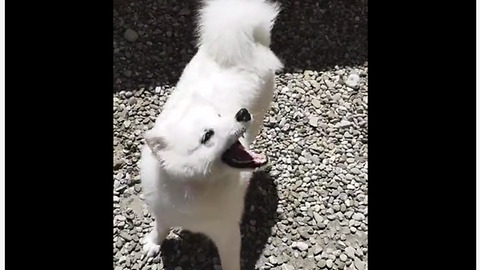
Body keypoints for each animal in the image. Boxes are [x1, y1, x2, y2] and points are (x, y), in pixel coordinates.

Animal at [138, 1, 282, 268]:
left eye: (219, 115)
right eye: (207, 135)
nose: (242, 113)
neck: (193, 190)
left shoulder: (227, 232)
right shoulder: (163, 210)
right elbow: (161, 227)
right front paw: (153, 243)